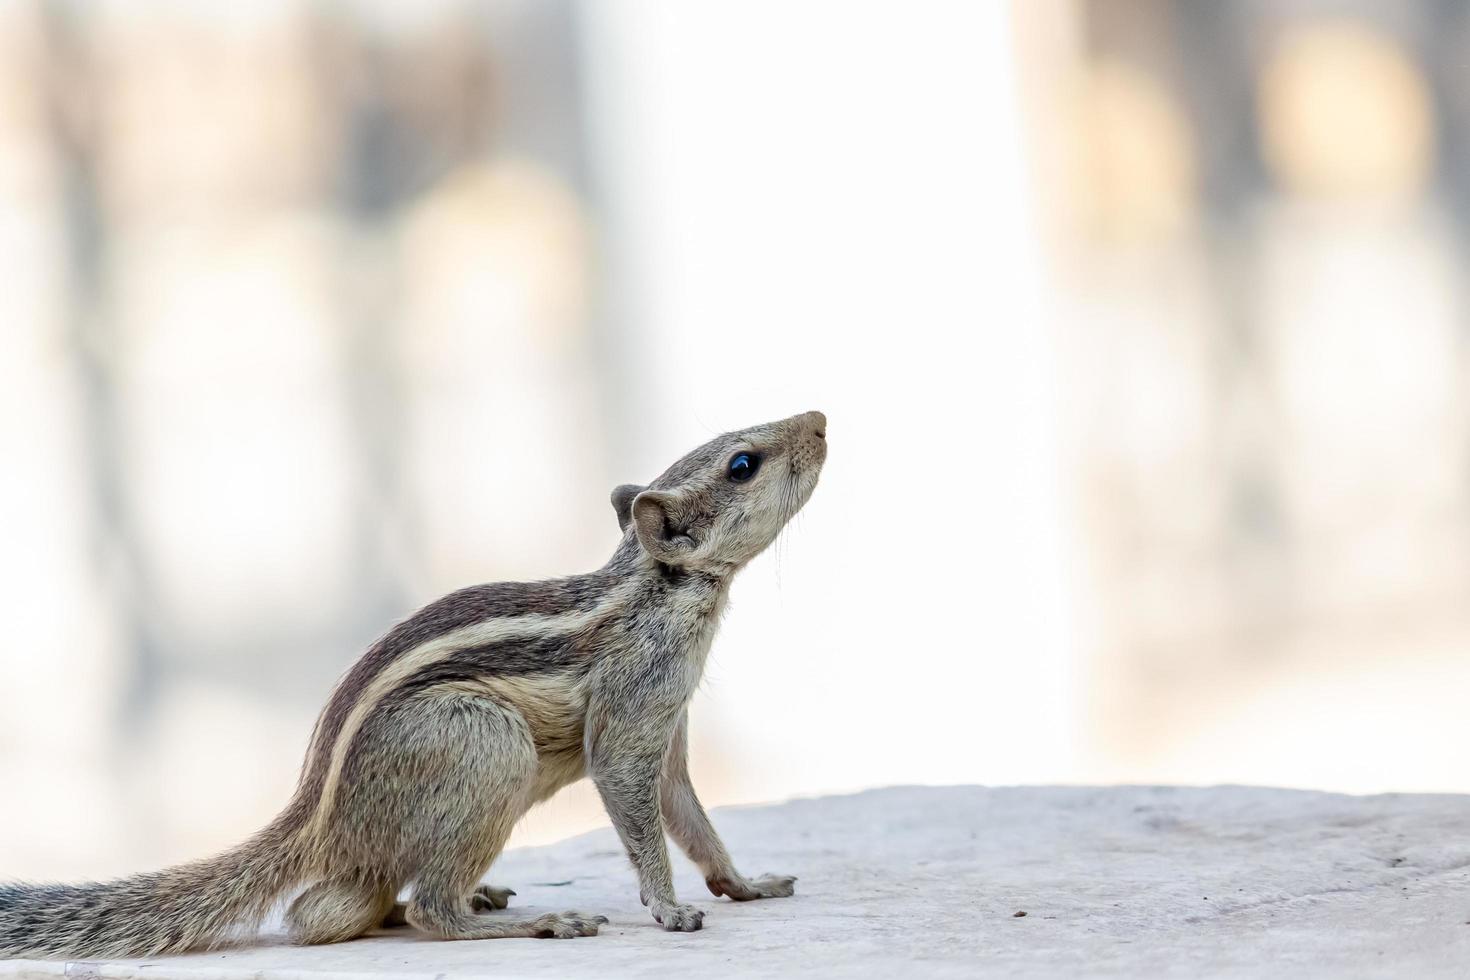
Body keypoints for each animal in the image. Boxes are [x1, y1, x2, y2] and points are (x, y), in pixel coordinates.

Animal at [0, 411, 829, 957]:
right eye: (743, 464)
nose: (819, 419)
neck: (655, 589)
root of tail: (316, 818)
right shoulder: (632, 717)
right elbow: (639, 811)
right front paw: (668, 907)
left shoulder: (669, 725)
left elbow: (691, 815)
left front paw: (744, 883)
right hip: (488, 747)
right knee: (429, 912)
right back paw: (521, 921)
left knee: (326, 914)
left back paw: (458, 899)